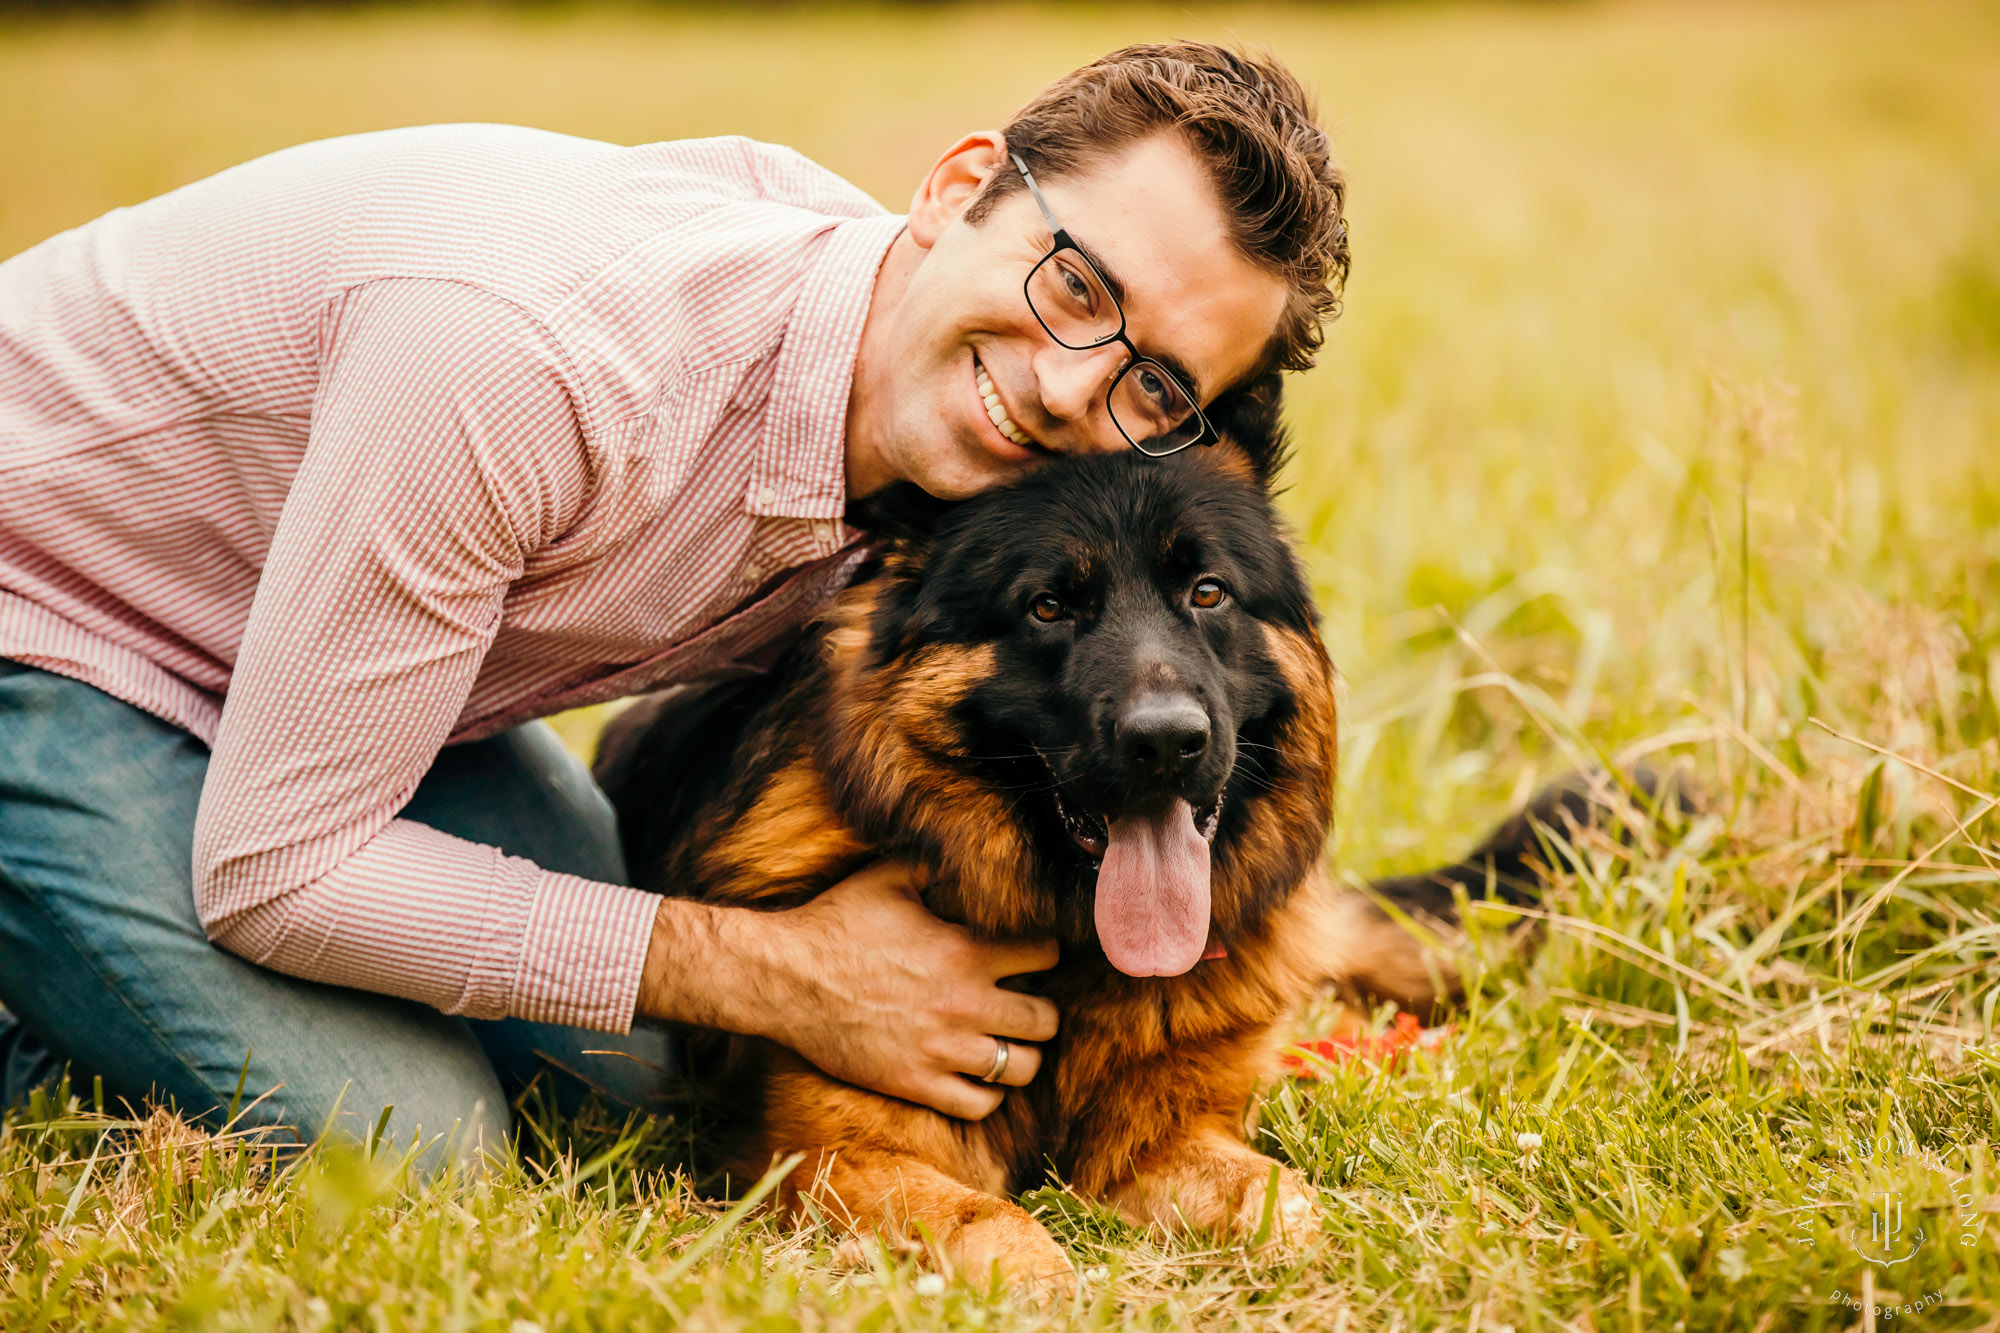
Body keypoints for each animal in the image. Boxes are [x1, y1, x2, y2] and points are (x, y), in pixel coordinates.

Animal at [592, 396, 1624, 1288]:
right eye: (1048, 606)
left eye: (1208, 592)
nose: (1167, 742)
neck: (1075, 953)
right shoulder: (833, 1153)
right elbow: (994, 1223)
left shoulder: (1162, 1137)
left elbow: (1279, 1198)